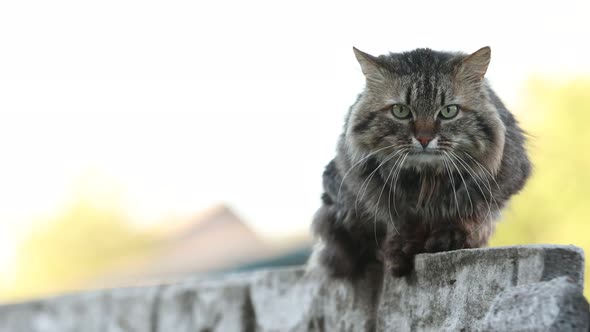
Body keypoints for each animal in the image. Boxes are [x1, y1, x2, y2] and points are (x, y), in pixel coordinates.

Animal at [312, 44, 536, 278]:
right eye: (400, 111)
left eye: (449, 111)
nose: (424, 139)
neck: (427, 179)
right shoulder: (365, 185)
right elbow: (400, 221)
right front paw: (401, 247)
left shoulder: (500, 180)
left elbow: (468, 213)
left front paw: (450, 236)